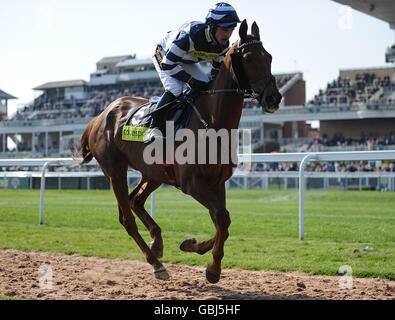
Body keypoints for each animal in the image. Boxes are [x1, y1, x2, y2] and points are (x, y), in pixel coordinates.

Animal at [79, 20, 282, 282]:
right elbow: (222, 218)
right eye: (248, 57)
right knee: (127, 219)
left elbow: (223, 221)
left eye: (269, 56)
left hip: (154, 173)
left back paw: (157, 242)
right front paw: (212, 269)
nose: (274, 98)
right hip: (115, 172)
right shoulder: (192, 183)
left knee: (136, 200)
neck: (211, 122)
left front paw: (194, 247)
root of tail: (99, 116)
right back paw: (156, 264)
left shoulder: (218, 182)